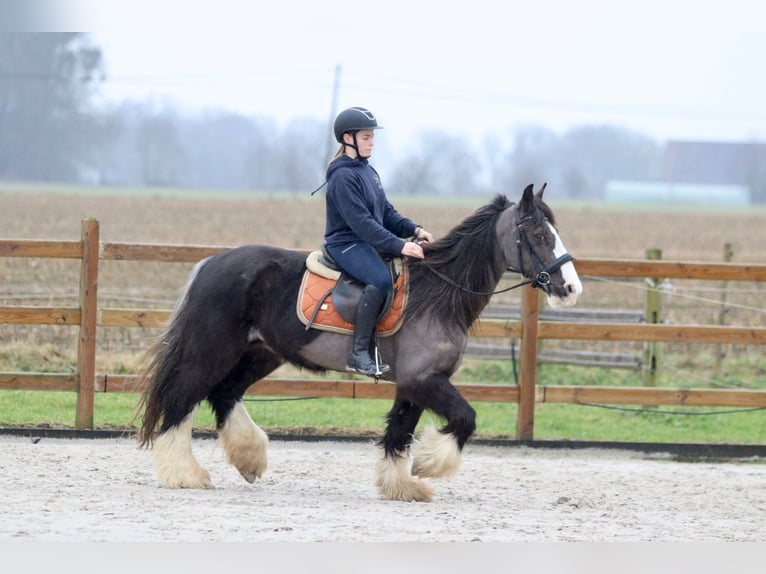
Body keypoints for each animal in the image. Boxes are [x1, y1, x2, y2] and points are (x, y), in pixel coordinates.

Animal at [140, 183, 584, 500]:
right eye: (539, 234)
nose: (571, 288)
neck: (438, 296)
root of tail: (210, 262)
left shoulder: (413, 384)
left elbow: (398, 433)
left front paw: (403, 486)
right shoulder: (425, 380)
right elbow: (464, 418)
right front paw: (427, 466)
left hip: (260, 353)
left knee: (225, 394)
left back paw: (249, 459)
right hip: (213, 350)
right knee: (182, 398)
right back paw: (185, 474)